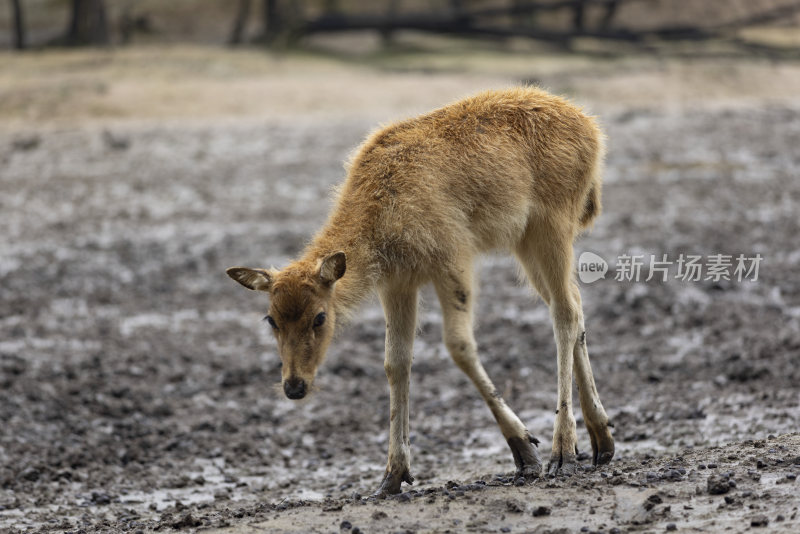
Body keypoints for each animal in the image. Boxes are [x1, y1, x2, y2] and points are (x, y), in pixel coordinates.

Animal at [228, 89, 616, 498]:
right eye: (271, 319)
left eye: (320, 316)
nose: (294, 386)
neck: (380, 210)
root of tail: (591, 128)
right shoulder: (398, 282)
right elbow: (396, 362)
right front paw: (391, 476)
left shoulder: (454, 260)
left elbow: (459, 345)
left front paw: (526, 452)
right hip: (526, 243)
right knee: (575, 304)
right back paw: (602, 442)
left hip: (552, 227)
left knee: (564, 313)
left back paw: (563, 453)